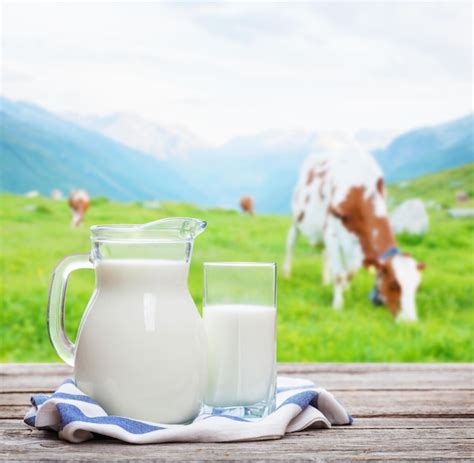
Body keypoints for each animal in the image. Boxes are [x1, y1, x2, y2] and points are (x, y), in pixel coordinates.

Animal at [282, 138, 426, 322]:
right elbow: (339, 273)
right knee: (290, 244)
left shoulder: (356, 242)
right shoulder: (332, 232)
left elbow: (350, 272)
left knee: (325, 254)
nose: (410, 322)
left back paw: (325, 281)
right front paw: (337, 304)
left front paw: (345, 288)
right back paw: (286, 273)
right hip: (296, 220)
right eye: (394, 284)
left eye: (417, 286)